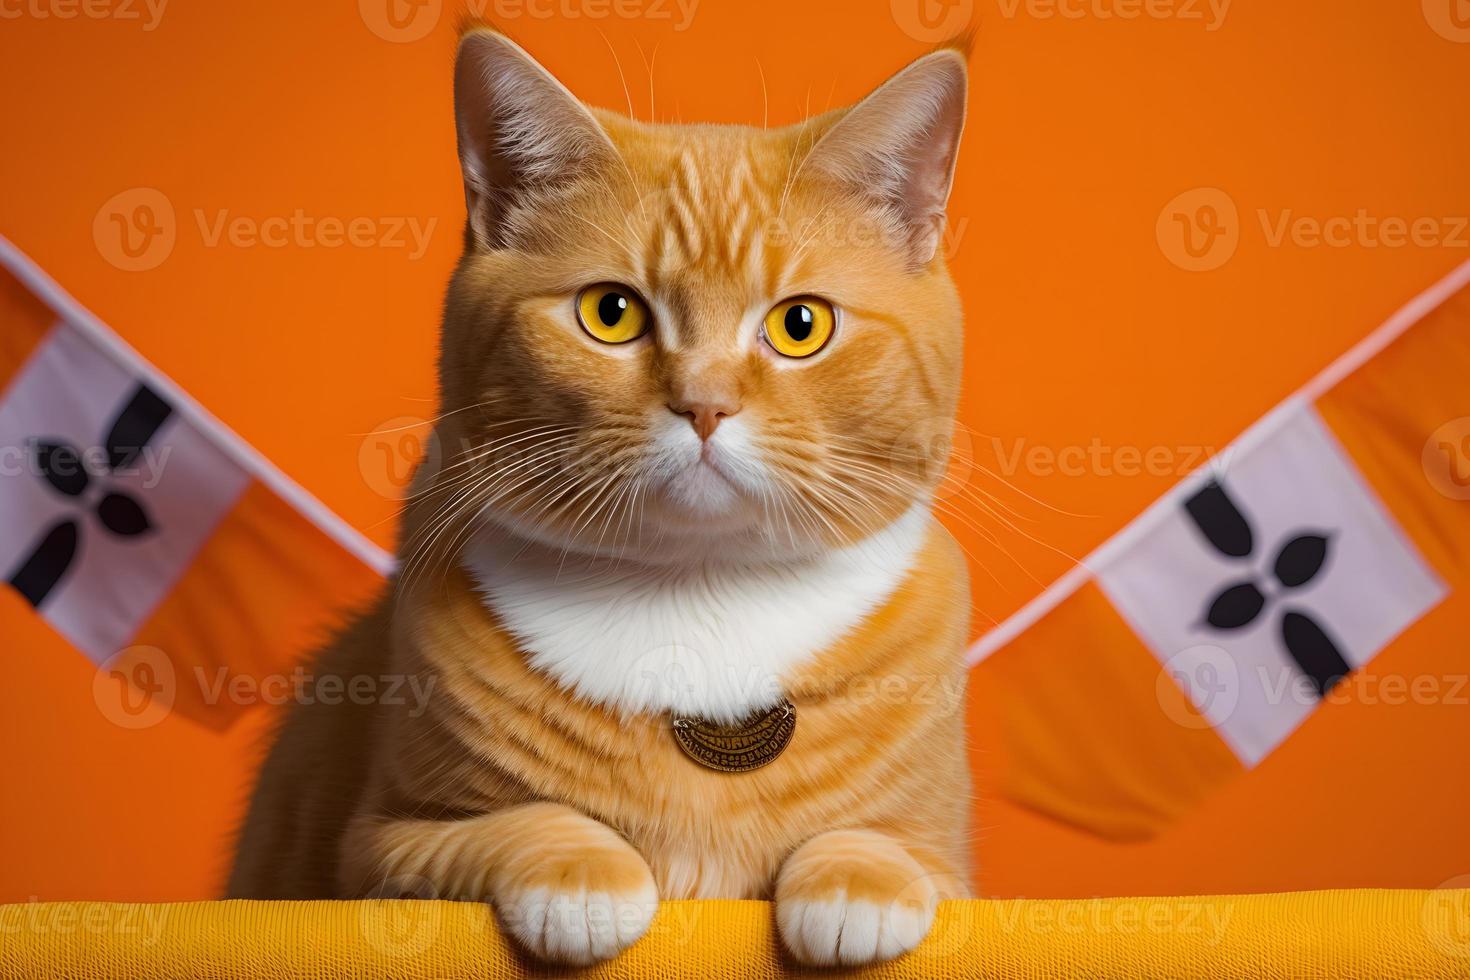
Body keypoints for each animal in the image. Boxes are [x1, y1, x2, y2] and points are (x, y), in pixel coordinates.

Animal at [232, 26, 976, 969]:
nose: (704, 403)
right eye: (612, 313)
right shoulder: (382, 846)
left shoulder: (953, 866)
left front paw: (858, 885)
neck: (698, 594)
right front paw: (582, 879)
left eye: (800, 325)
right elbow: (517, 826)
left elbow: (886, 844)